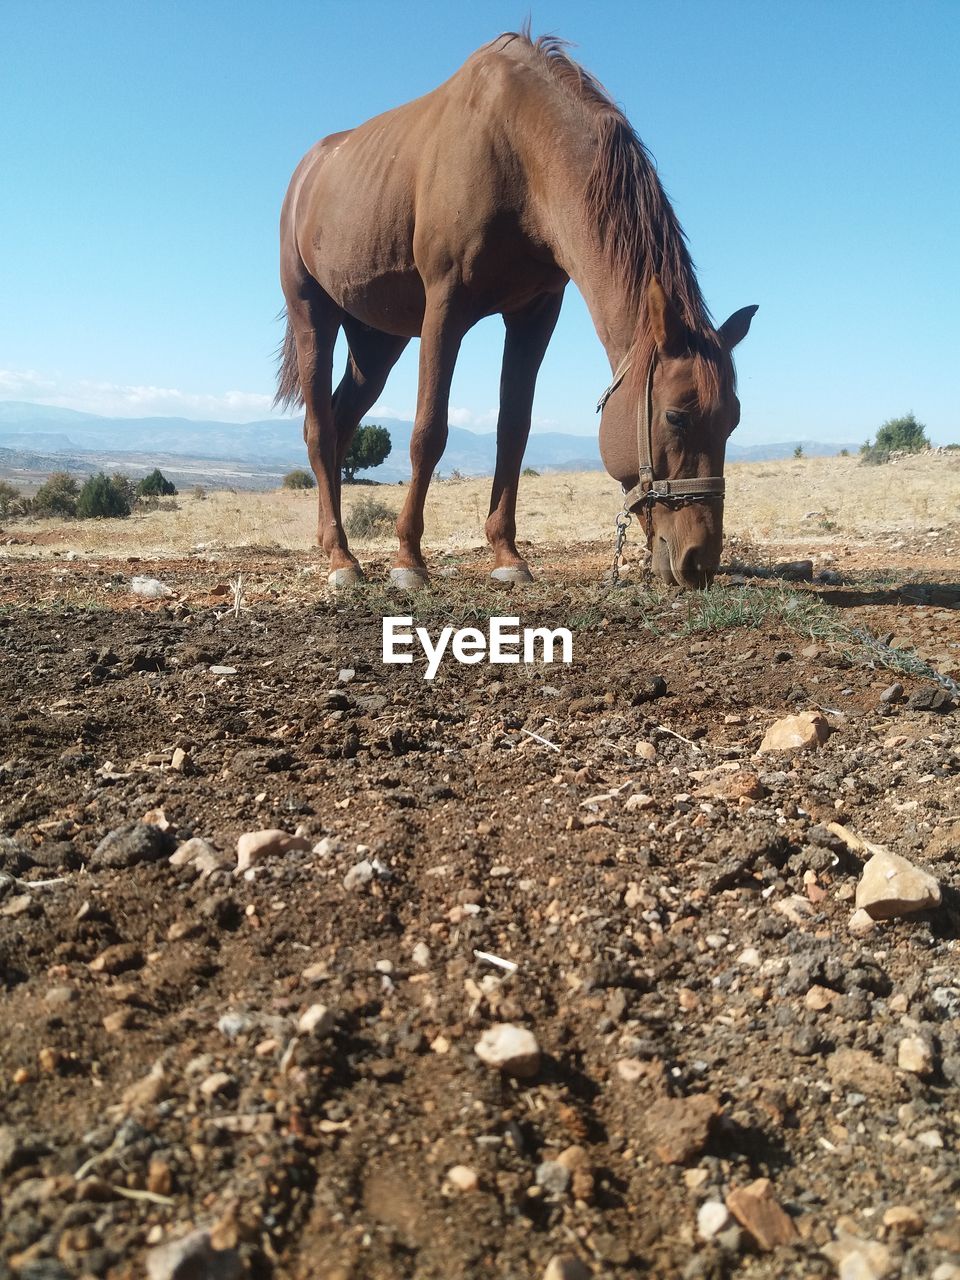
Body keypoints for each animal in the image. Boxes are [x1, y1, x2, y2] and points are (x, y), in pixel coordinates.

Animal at [276, 30, 757, 588]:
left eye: (733, 420)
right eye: (677, 417)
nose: (699, 561)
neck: (519, 153)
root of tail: (308, 170)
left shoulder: (535, 314)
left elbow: (514, 429)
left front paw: (506, 554)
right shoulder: (445, 307)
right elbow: (428, 432)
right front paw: (408, 560)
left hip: (377, 344)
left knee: (340, 423)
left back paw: (333, 543)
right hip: (313, 315)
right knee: (319, 429)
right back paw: (340, 557)